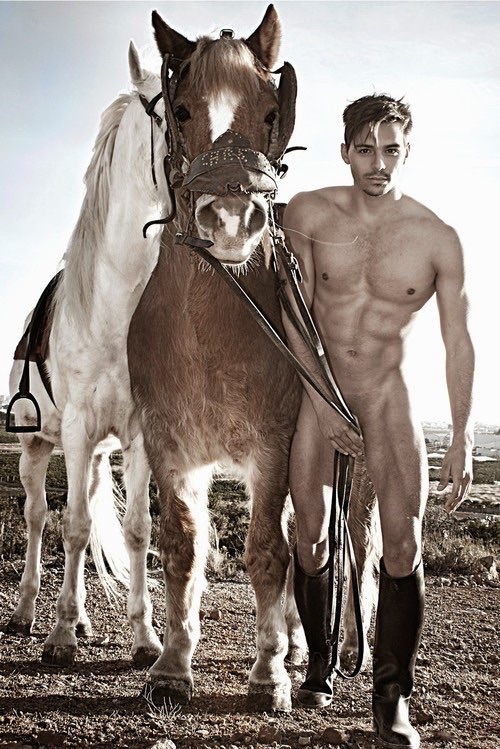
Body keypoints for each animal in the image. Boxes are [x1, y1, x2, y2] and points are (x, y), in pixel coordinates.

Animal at [5, 43, 169, 668]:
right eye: (169, 109)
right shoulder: (73, 431)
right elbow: (71, 526)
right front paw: (58, 638)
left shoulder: (140, 433)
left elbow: (138, 530)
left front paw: (145, 640)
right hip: (37, 447)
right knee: (36, 517)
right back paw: (29, 612)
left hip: (97, 455)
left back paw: (83, 621)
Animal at [127, 5, 379, 712]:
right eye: (182, 108)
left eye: (270, 111)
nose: (231, 219)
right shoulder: (170, 445)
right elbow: (182, 548)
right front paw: (173, 665)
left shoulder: (273, 449)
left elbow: (268, 549)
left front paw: (269, 675)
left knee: (341, 551)